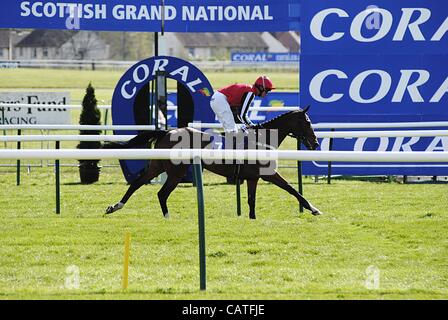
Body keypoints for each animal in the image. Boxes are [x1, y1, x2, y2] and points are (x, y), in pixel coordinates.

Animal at [105, 109, 322, 219]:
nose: (316, 143)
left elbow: (252, 202)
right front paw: (314, 209)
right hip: (176, 171)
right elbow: (293, 190)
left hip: (158, 166)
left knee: (137, 183)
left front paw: (252, 219)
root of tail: (168, 131)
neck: (261, 139)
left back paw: (115, 206)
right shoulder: (268, 174)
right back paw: (167, 217)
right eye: (308, 122)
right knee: (161, 193)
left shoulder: (253, 178)